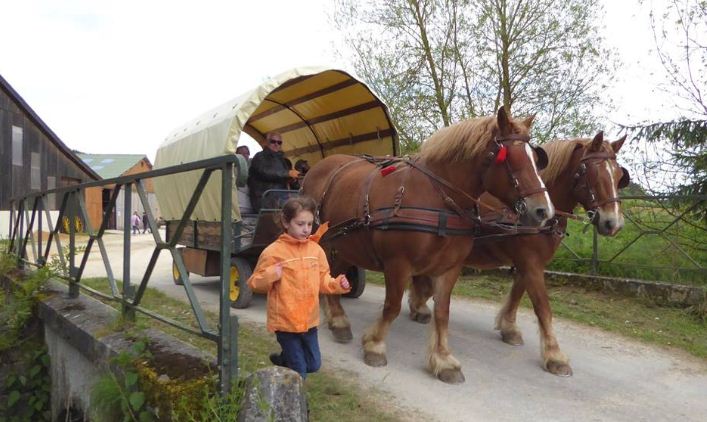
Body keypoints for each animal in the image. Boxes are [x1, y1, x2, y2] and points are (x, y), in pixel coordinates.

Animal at [302, 107, 556, 384]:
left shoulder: (450, 267)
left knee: (333, 274)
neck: (437, 198)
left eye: (536, 159)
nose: (544, 211)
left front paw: (443, 359)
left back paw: (337, 320)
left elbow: (442, 312)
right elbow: (392, 306)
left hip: (347, 243)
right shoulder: (398, 263)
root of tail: (321, 166)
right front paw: (375, 345)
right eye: (512, 158)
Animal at [410, 131, 632, 376]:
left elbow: (518, 292)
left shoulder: (532, 261)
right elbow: (542, 306)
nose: (613, 223)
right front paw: (554, 355)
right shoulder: (530, 260)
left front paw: (509, 328)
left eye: (619, 176)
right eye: (593, 172)